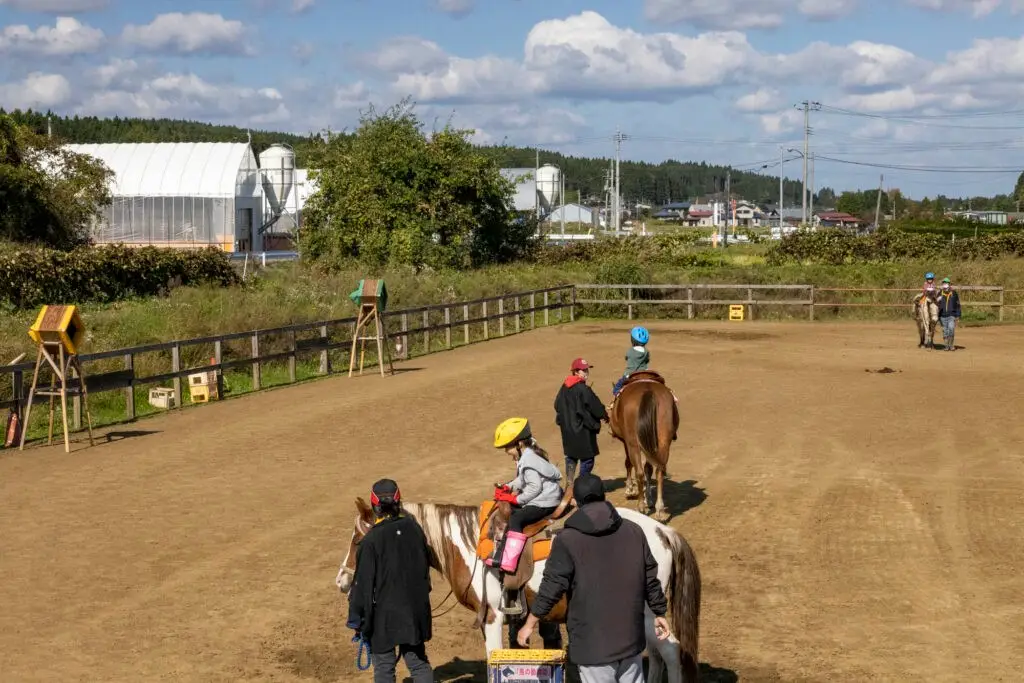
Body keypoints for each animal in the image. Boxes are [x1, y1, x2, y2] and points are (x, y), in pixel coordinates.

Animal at [335, 497, 704, 683]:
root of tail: (662, 531)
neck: (470, 545)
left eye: (358, 540)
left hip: (648, 614)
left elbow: (492, 658)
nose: (341, 580)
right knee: (655, 655)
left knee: (670, 652)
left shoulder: (492, 618)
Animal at [606, 370, 679, 520]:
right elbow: (648, 469)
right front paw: (648, 499)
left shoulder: (626, 441)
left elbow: (629, 463)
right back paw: (659, 509)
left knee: (638, 470)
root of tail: (647, 390)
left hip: (633, 443)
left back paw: (640, 507)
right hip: (663, 441)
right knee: (659, 470)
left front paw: (630, 490)